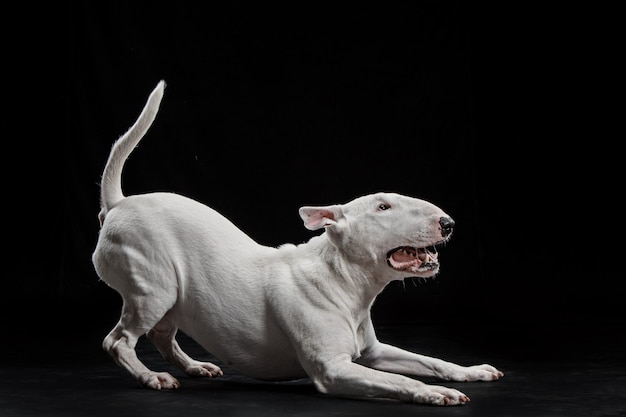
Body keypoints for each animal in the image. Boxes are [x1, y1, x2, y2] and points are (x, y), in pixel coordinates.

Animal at [94, 80, 502, 404]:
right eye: (383, 206)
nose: (448, 223)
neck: (346, 282)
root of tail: (119, 204)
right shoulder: (333, 369)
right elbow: (401, 380)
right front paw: (436, 393)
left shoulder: (373, 352)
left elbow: (428, 361)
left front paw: (473, 371)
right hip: (152, 288)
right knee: (118, 341)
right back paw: (152, 377)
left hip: (172, 296)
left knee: (161, 334)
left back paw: (193, 367)